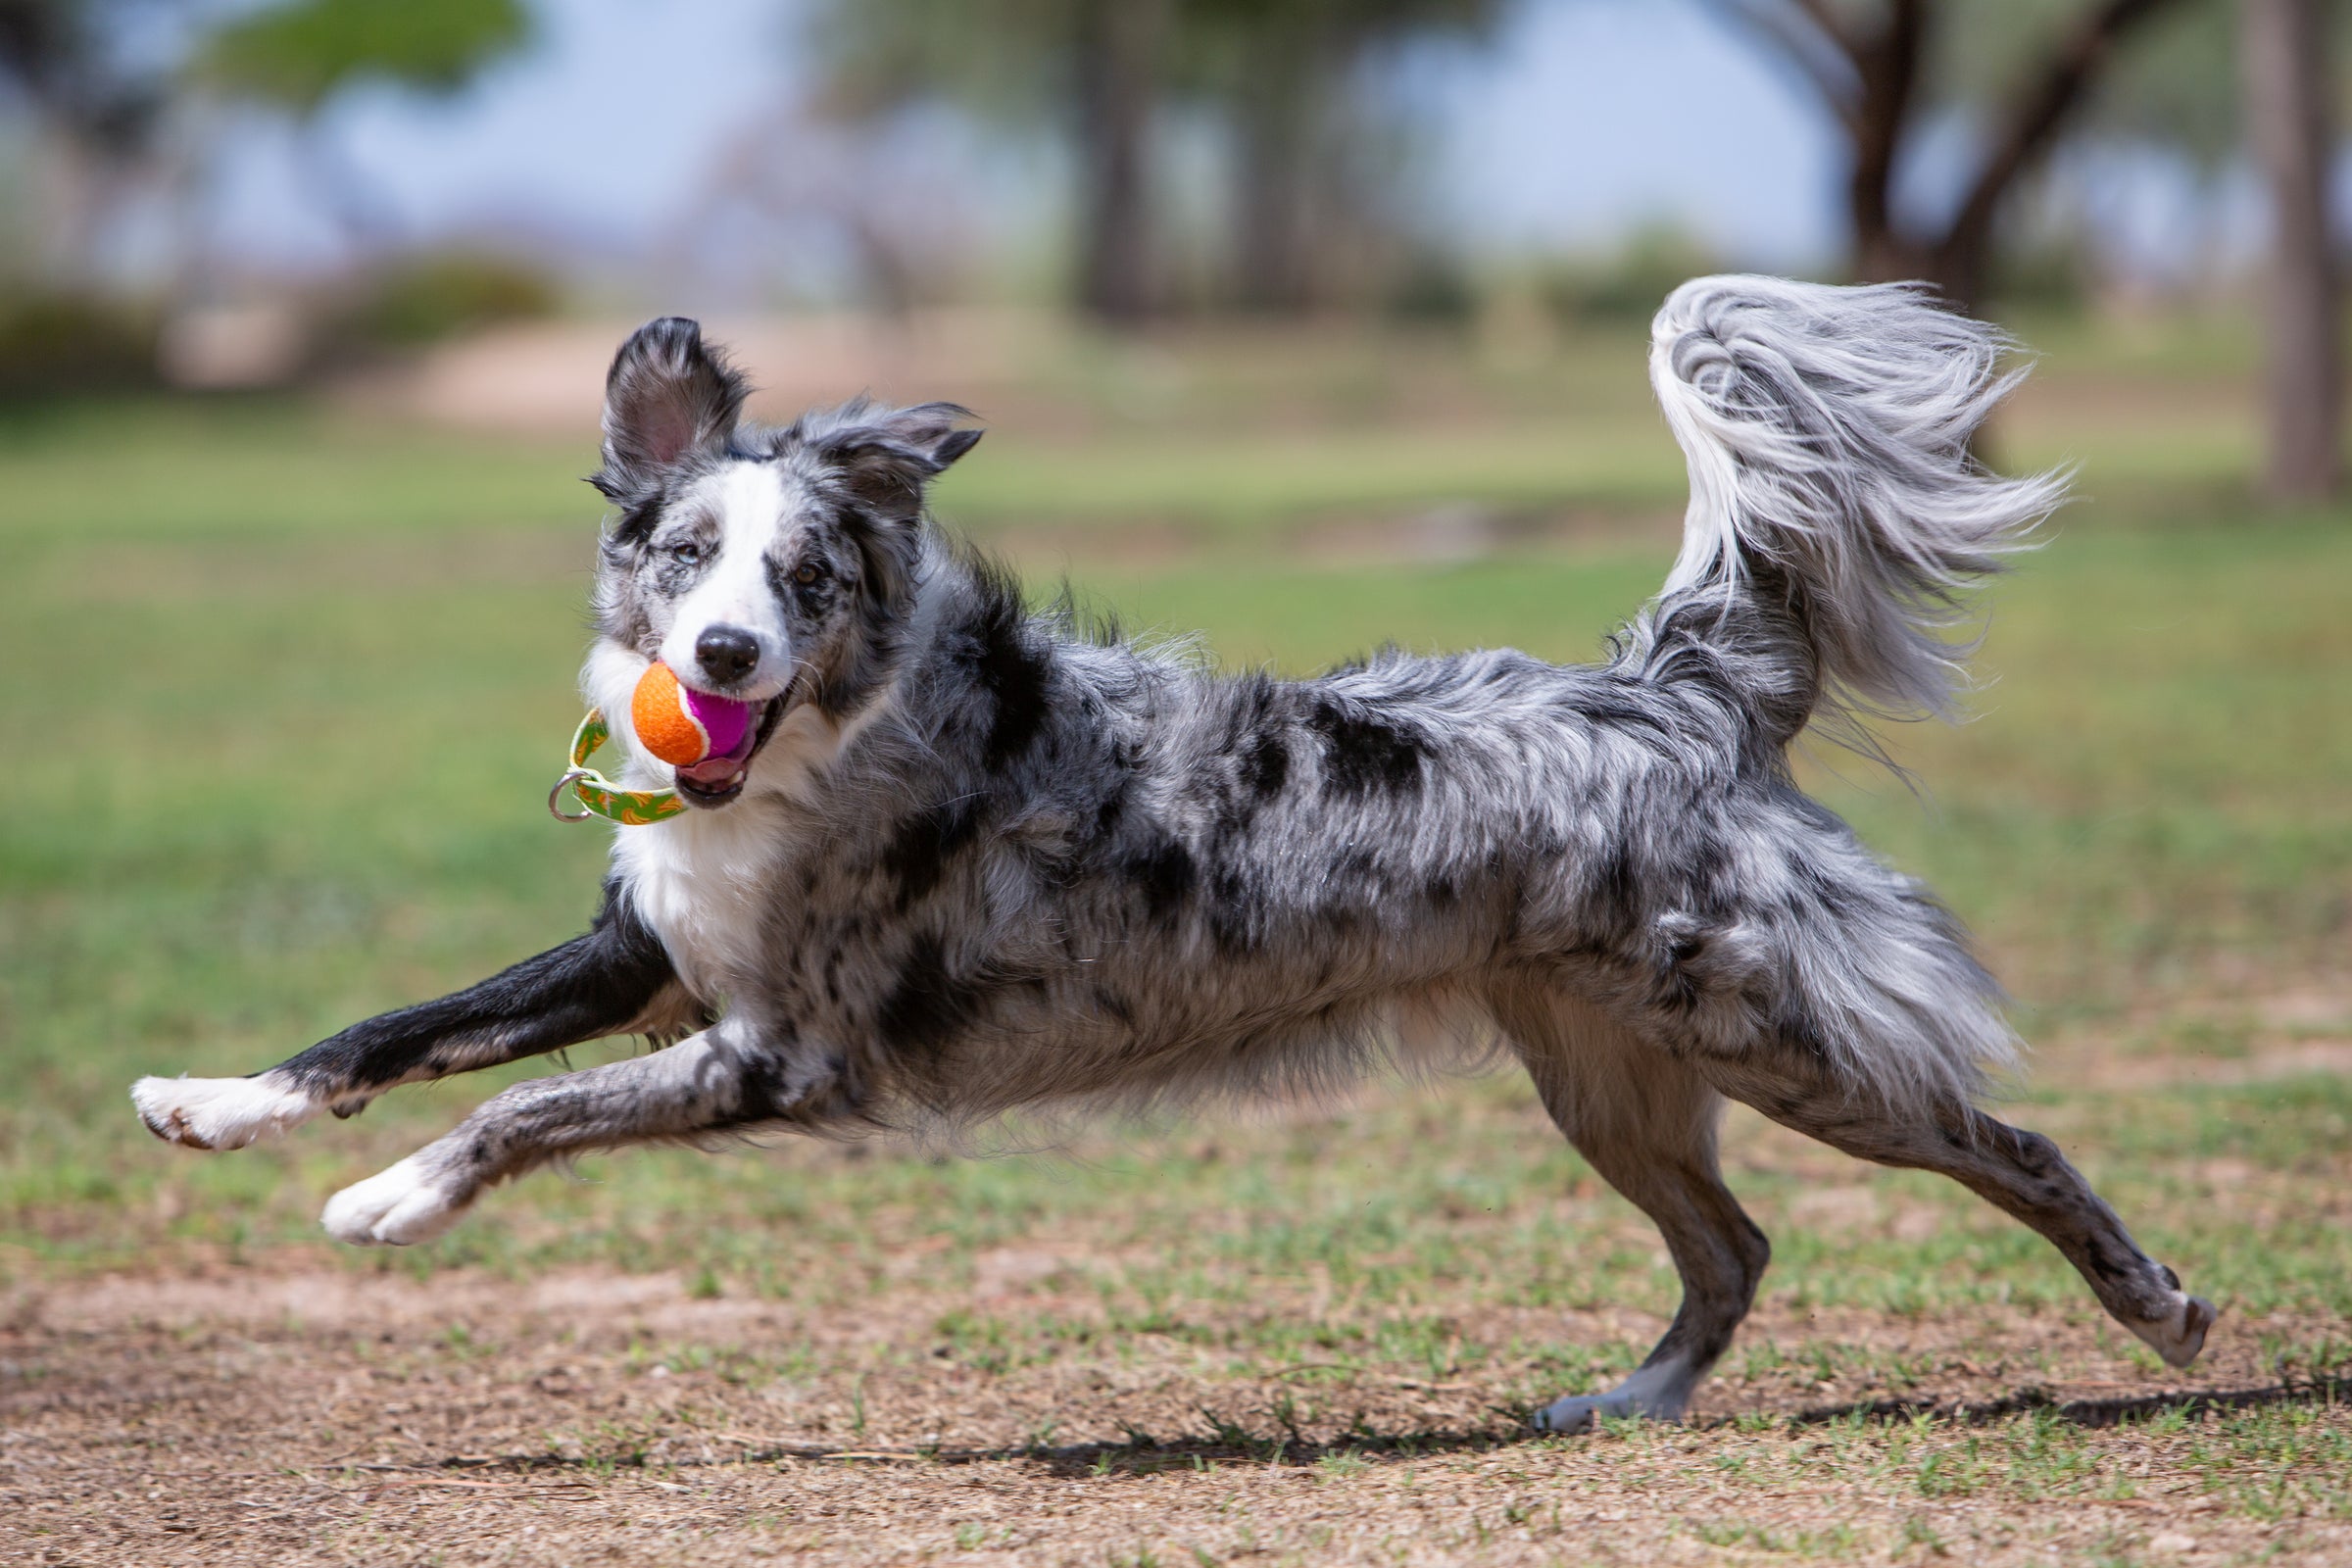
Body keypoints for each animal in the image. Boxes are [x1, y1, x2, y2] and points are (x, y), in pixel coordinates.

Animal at [128, 278, 2211, 1439]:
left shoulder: (783, 1056)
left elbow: (514, 1111)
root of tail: (1667, 693)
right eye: (683, 549)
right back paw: (1621, 1406)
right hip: (1603, 1072)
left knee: (2012, 1148)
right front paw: (211, 1102)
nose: (715, 662)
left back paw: (2164, 1311)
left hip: (1783, 1034)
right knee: (1736, 1246)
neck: (822, 755)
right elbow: (397, 1027)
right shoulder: (647, 956)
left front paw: (387, 1205)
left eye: (807, 575)